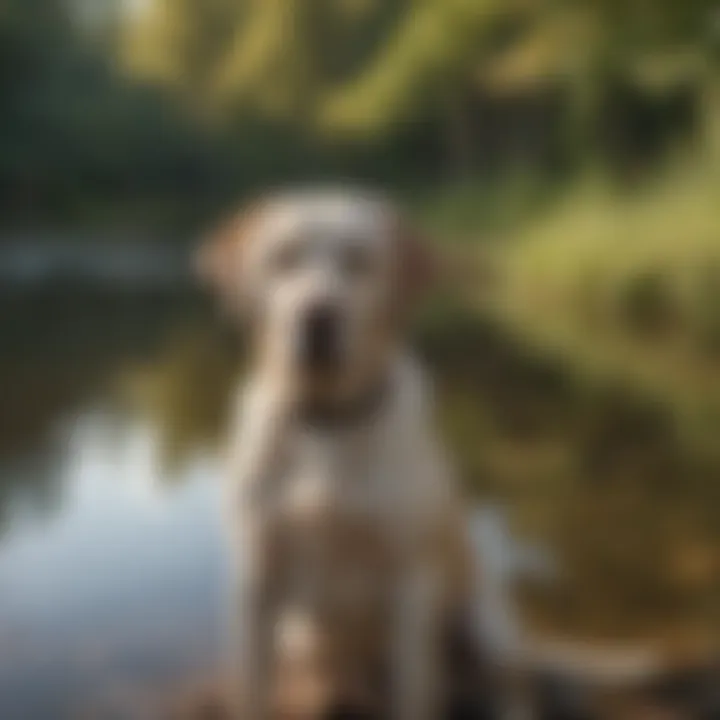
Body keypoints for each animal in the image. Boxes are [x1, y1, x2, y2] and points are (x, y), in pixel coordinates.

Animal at [200, 188, 486, 716]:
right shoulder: (256, 581)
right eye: (283, 259)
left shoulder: (410, 583)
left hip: (488, 620)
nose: (318, 316)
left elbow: (413, 693)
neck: (327, 422)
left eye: (359, 261)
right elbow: (251, 691)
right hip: (298, 637)